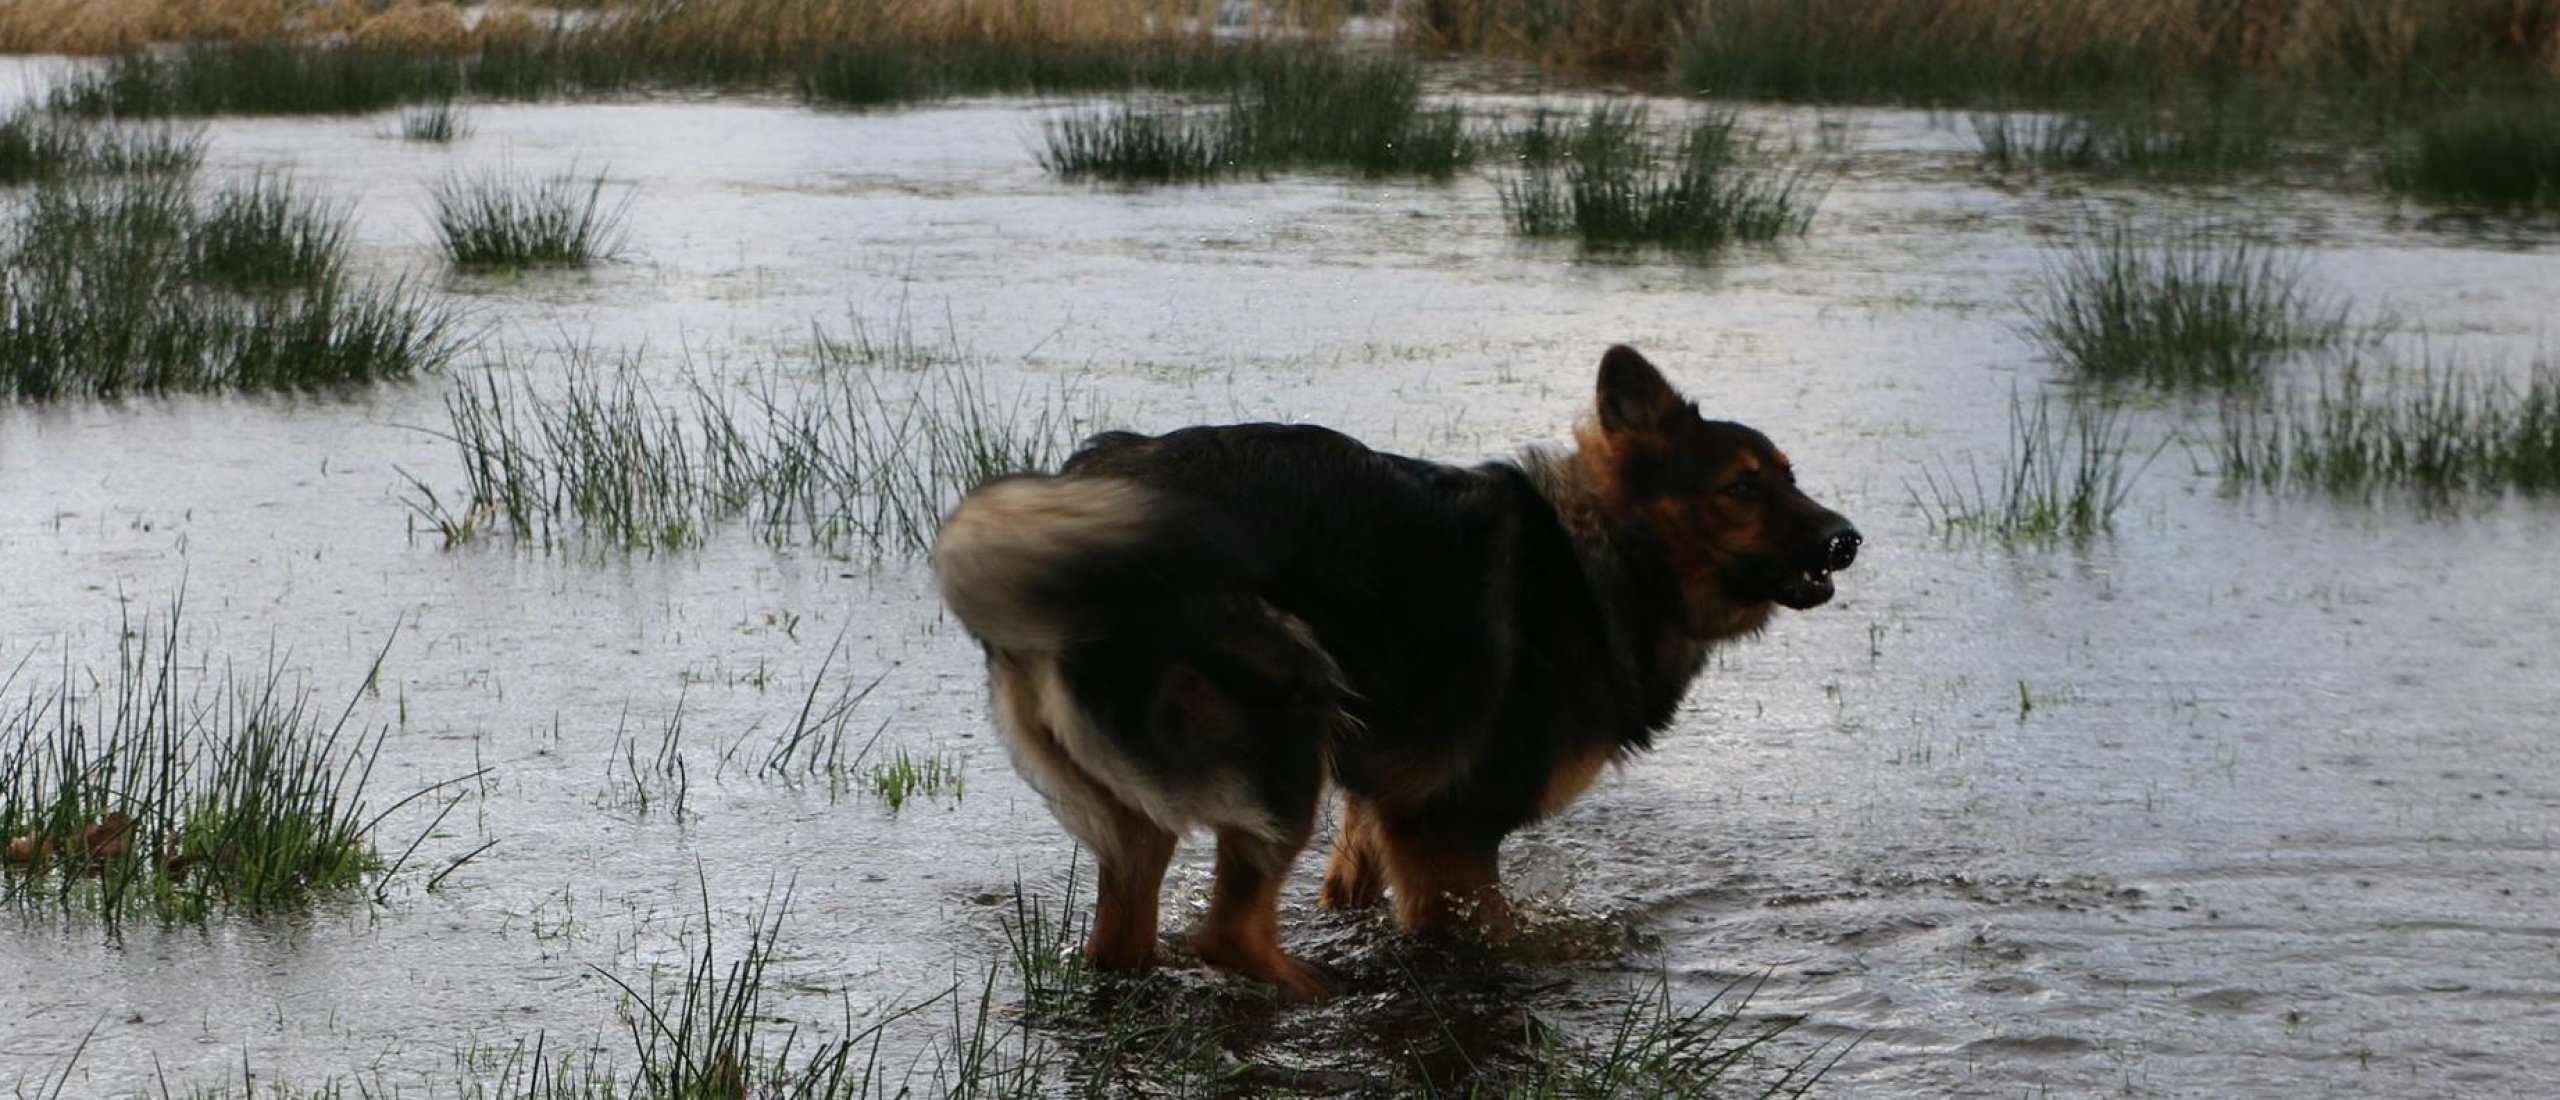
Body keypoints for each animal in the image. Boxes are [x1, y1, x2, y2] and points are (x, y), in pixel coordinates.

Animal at [931, 345, 1853, 997]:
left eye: (1791, 479)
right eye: (1741, 490)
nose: (1848, 538)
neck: (1599, 558)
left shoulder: (1385, 809)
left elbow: (1354, 886)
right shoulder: (1450, 826)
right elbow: (1491, 936)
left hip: (1151, 810)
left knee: (1127, 941)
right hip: (1289, 720)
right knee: (1229, 936)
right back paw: (1323, 992)